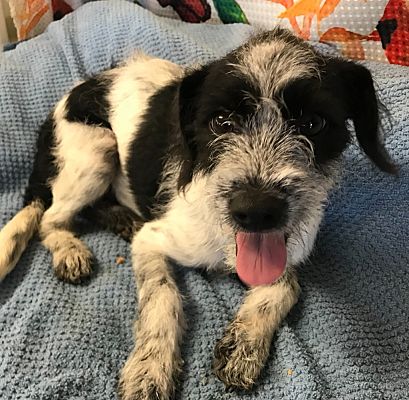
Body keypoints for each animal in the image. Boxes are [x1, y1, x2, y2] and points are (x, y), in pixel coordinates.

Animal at [0, 28, 396, 400]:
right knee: (49, 217)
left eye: (314, 123)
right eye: (221, 121)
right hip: (97, 148)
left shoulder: (285, 254)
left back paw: (121, 219)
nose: (256, 211)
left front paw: (244, 344)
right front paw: (150, 368)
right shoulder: (153, 241)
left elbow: (287, 285)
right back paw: (70, 249)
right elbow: (163, 295)